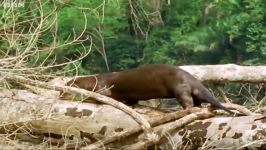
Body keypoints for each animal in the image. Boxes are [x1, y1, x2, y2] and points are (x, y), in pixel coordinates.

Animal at [61, 63, 235, 114]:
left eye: (69, 84)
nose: (62, 91)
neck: (96, 80)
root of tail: (194, 81)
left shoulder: (103, 88)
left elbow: (100, 96)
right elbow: (131, 100)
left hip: (180, 87)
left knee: (188, 102)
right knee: (198, 102)